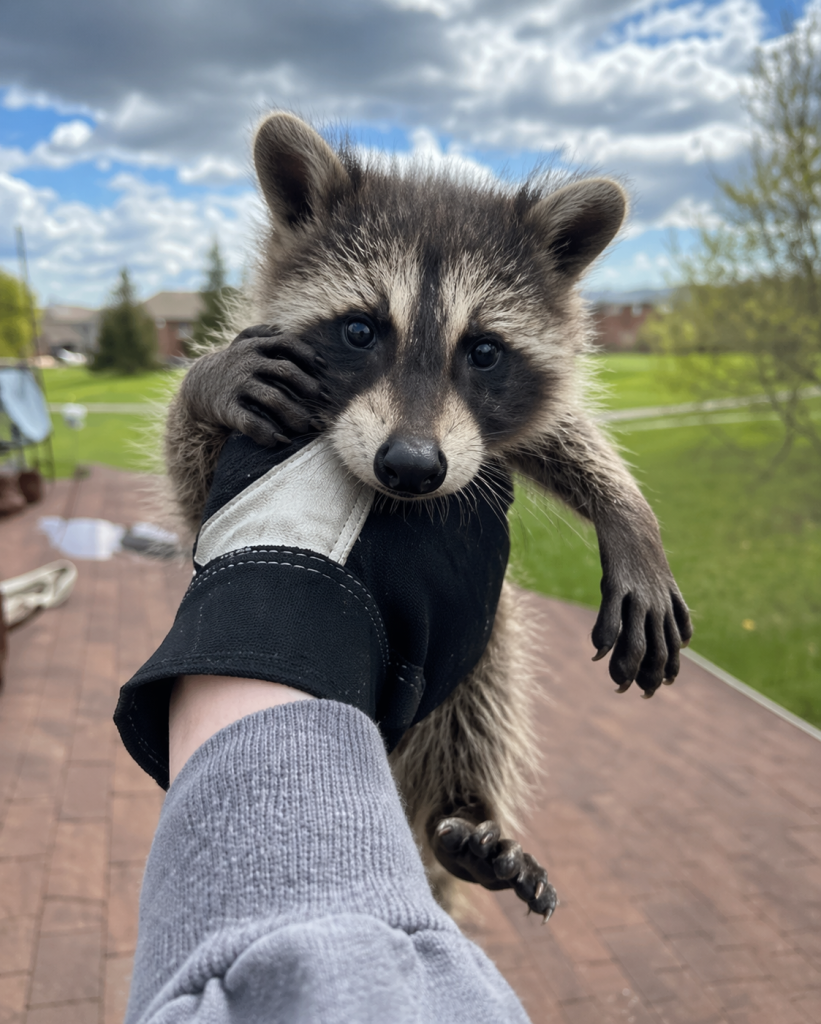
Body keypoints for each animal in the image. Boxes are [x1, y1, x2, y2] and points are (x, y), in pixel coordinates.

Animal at [164, 113, 692, 918]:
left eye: (484, 351)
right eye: (359, 330)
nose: (411, 466)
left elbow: (560, 431)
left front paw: (627, 512)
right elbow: (187, 477)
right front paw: (203, 384)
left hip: (481, 646)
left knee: (488, 684)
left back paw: (461, 811)